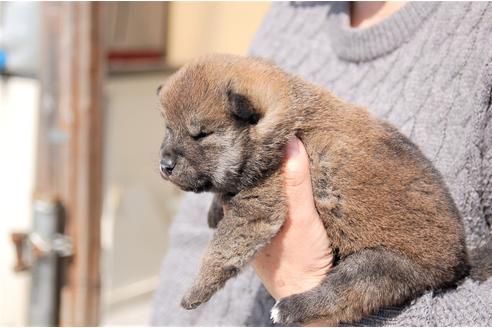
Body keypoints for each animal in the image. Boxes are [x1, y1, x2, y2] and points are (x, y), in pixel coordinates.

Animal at [157, 53, 468, 326]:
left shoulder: (258, 206)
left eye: (201, 134)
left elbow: (220, 251)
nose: (165, 164)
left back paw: (289, 308)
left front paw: (195, 291)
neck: (287, 121)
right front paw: (214, 209)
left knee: (341, 296)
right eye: (168, 129)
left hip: (378, 266)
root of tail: (456, 260)